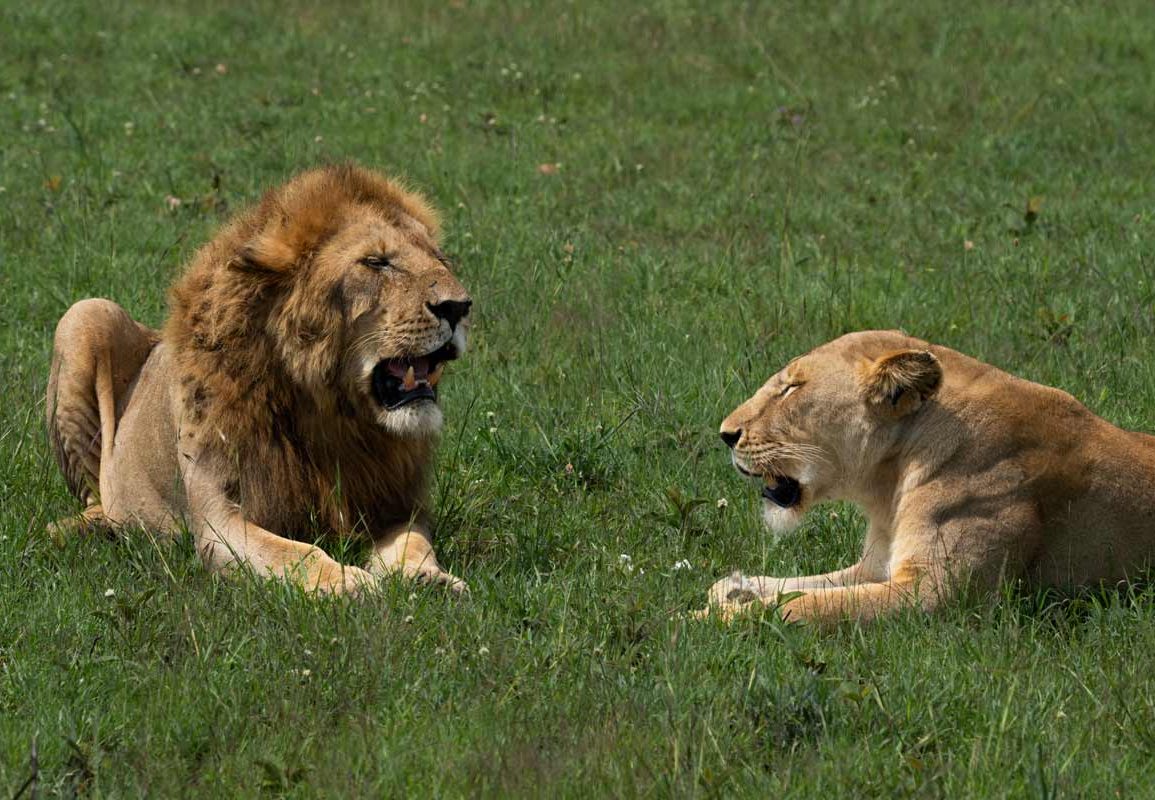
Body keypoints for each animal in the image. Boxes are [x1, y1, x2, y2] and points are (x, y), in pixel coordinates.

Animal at [45, 163, 468, 591]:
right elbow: (297, 553)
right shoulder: (220, 520)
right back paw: (87, 527)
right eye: (376, 262)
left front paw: (428, 578)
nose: (459, 307)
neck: (326, 411)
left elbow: (413, 543)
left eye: (439, 258)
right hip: (86, 314)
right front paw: (350, 583)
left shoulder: (397, 504)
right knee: (94, 496)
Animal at [702, 330, 1155, 623]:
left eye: (792, 388)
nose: (726, 434)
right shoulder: (876, 569)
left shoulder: (936, 595)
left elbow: (808, 605)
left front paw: (709, 619)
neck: (889, 483)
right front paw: (733, 589)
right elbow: (799, 587)